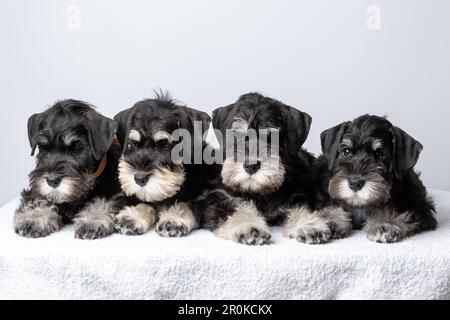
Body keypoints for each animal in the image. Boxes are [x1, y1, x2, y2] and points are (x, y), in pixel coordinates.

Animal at [14, 99, 122, 238]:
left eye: (75, 148)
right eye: (43, 147)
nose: (52, 181)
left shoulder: (114, 191)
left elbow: (103, 201)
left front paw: (93, 219)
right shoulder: (37, 190)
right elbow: (39, 199)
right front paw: (34, 217)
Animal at [110, 92, 213, 238]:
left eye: (165, 145)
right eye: (133, 144)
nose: (139, 179)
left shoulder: (203, 198)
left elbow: (185, 204)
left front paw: (174, 219)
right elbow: (146, 201)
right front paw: (133, 216)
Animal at [195, 92, 318, 245]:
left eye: (271, 138)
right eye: (237, 136)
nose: (251, 166)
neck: (260, 193)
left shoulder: (298, 195)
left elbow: (302, 208)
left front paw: (309, 225)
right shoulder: (219, 198)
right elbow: (237, 209)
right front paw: (250, 227)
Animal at [308, 115, 438, 242]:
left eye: (380, 154)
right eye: (346, 151)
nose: (355, 183)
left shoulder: (421, 208)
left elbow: (397, 211)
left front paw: (385, 223)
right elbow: (331, 205)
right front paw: (330, 219)